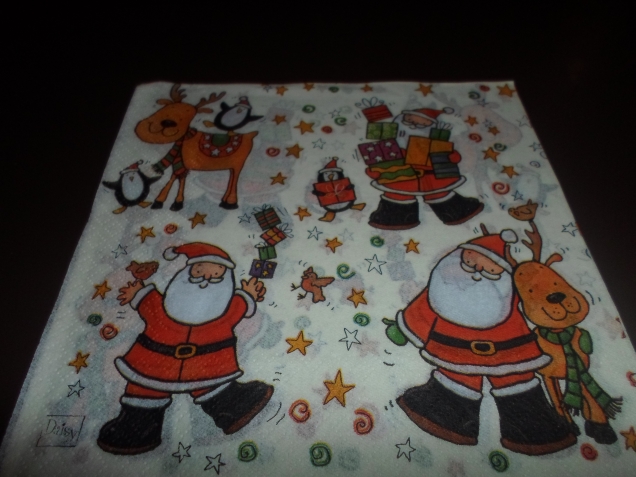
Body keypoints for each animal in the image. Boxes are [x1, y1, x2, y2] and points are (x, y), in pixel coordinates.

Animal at [507, 201, 623, 445]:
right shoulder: (548, 375)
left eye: (555, 278)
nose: (557, 297)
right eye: (527, 290)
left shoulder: (582, 365)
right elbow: (559, 402)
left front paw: (601, 428)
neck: (560, 336)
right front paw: (568, 426)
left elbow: (589, 396)